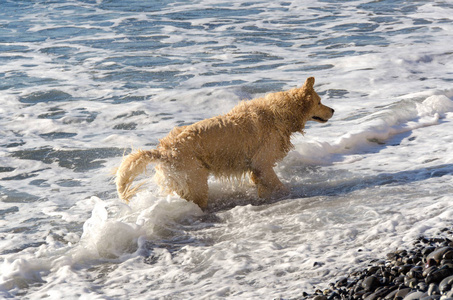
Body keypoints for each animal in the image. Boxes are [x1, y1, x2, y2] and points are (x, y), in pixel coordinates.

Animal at [115, 77, 334, 209]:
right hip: (195, 181)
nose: (333, 110)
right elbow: (279, 186)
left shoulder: (258, 169)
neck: (279, 113)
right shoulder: (262, 163)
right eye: (319, 102)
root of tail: (162, 150)